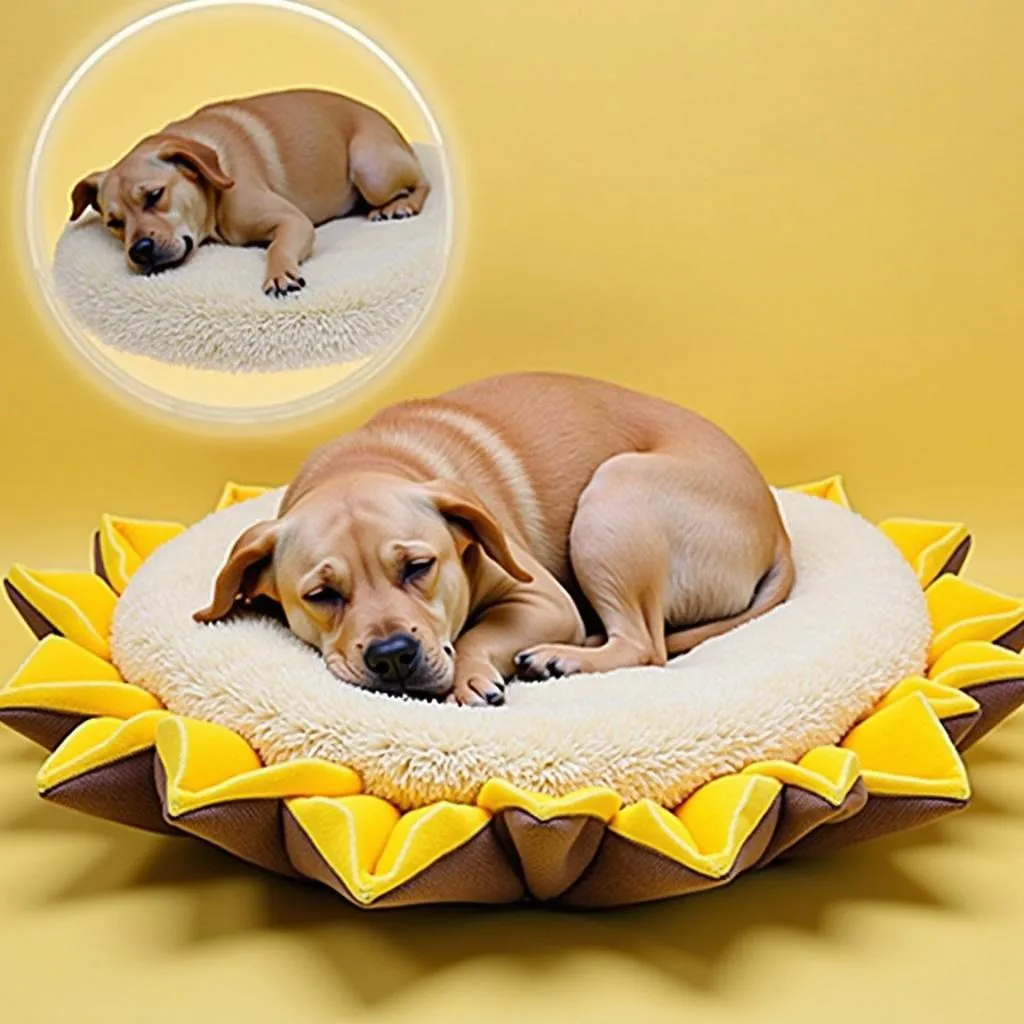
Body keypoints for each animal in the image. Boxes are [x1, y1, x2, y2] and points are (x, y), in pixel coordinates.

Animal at [67, 87, 428, 296]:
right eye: (114, 223)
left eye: (155, 195)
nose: (139, 250)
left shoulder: (293, 221)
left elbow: (275, 248)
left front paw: (280, 274)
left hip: (371, 170)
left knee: (424, 182)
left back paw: (400, 205)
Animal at [195, 374, 794, 704]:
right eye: (321, 595)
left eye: (418, 566)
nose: (393, 656)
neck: (369, 461)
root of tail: (779, 534)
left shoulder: (544, 599)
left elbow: (478, 635)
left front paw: (472, 672)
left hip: (613, 500)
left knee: (644, 645)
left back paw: (560, 658)